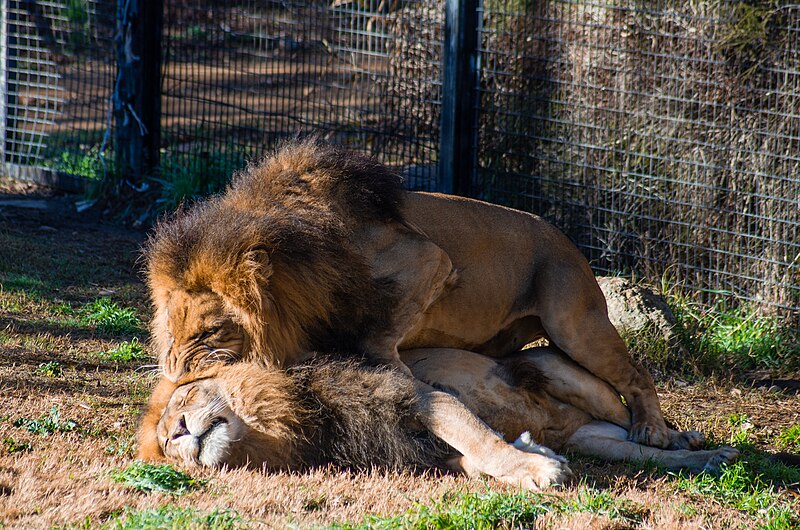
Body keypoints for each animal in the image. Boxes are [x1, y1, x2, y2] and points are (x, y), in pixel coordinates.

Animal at [147, 138, 692, 484]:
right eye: (170, 331)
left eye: (211, 331)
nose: (171, 381)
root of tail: (564, 236)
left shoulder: (428, 260)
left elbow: (380, 341)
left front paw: (395, 376)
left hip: (574, 325)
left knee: (636, 375)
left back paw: (654, 429)